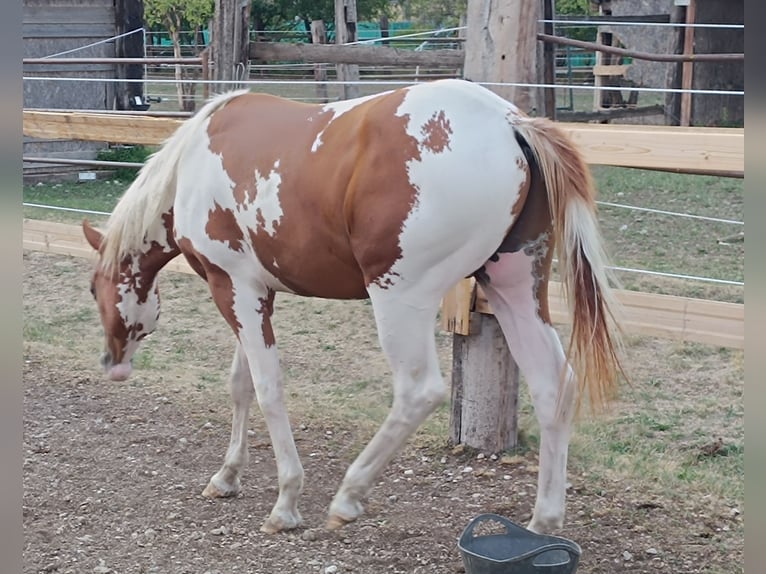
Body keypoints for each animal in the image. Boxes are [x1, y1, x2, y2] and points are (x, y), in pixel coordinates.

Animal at [82, 78, 623, 535]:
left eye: (92, 289)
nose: (111, 363)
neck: (190, 166)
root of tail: (509, 122)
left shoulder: (232, 287)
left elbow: (267, 388)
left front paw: (286, 500)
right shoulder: (253, 292)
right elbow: (241, 384)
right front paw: (227, 475)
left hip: (399, 299)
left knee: (418, 392)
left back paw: (348, 495)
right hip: (513, 285)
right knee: (554, 387)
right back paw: (544, 521)